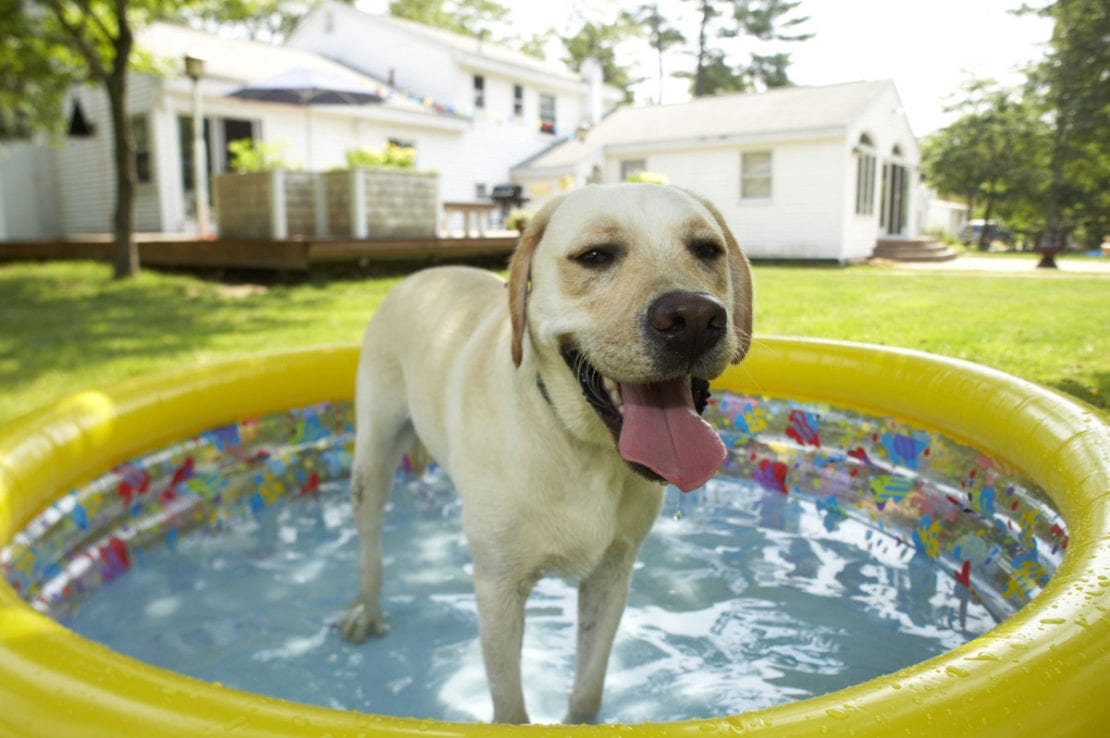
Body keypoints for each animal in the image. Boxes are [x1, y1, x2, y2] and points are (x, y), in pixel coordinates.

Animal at [337, 180, 754, 723]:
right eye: (594, 255)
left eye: (706, 250)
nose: (694, 317)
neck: (582, 446)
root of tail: (422, 275)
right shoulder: (498, 588)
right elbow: (510, 706)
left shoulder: (611, 575)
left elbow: (588, 687)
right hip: (373, 453)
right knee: (369, 545)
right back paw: (365, 609)